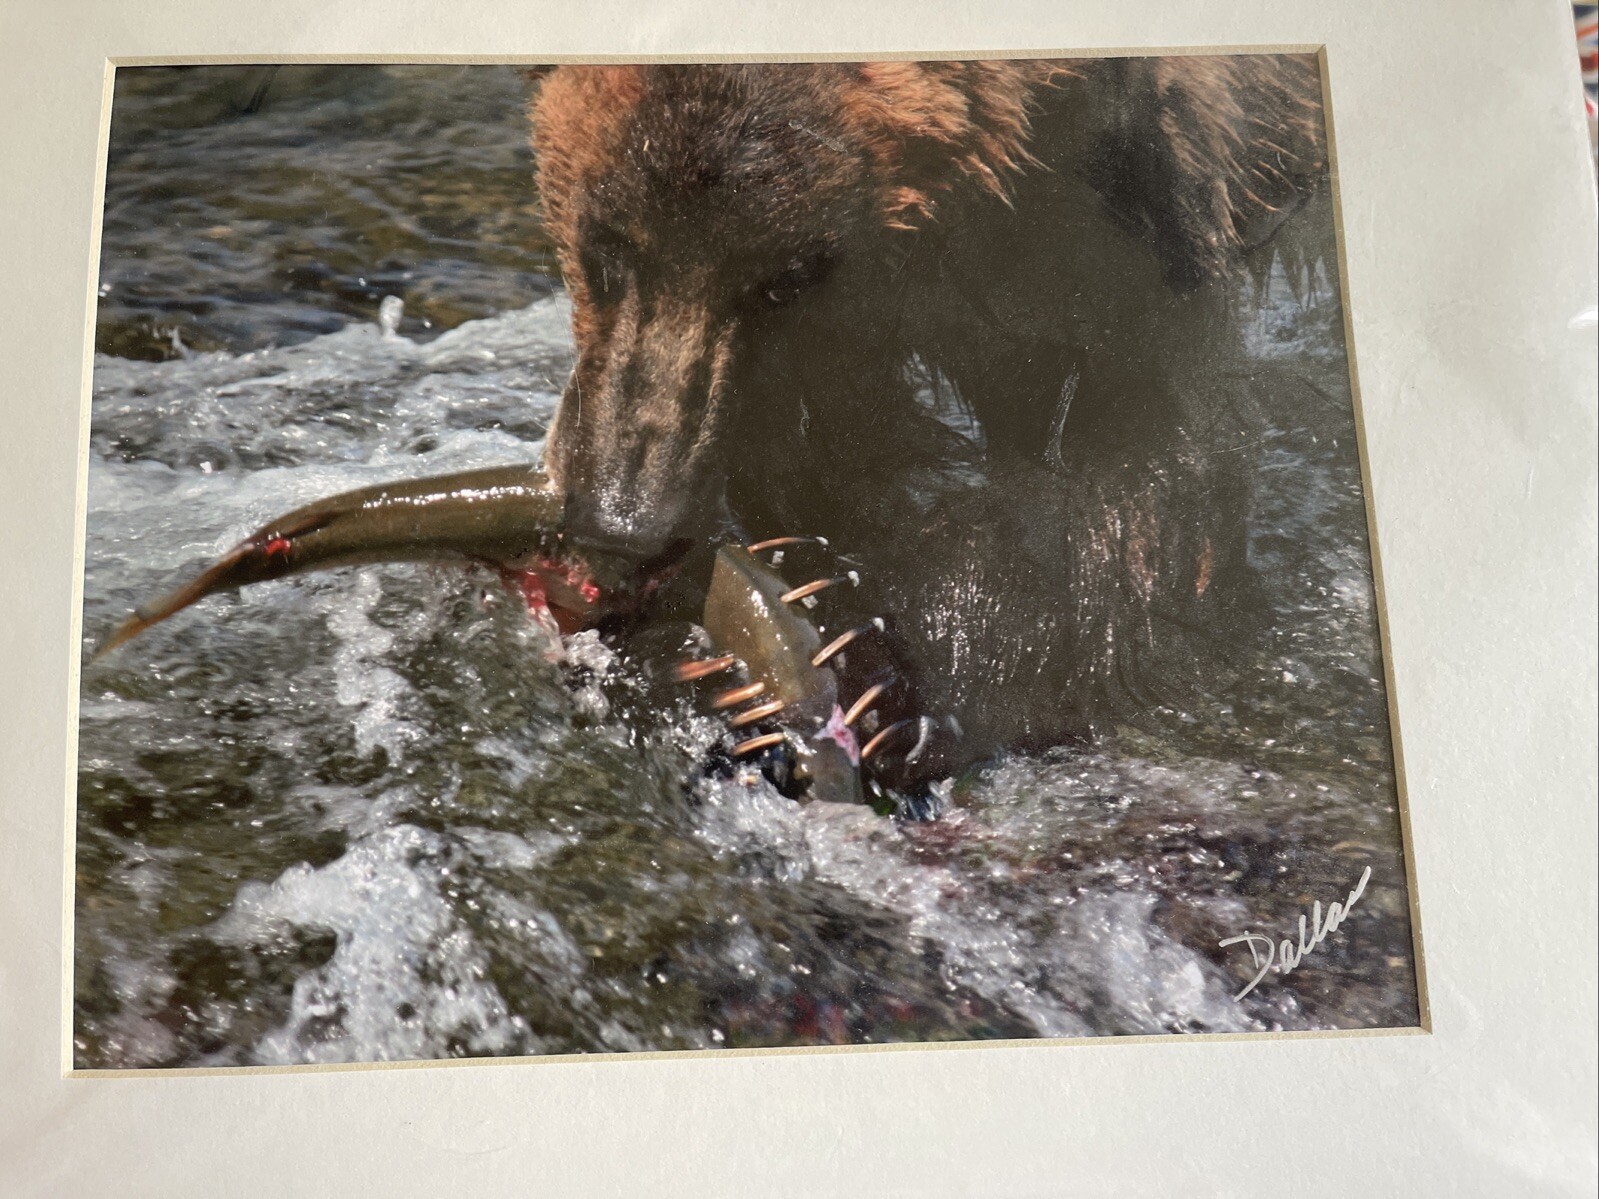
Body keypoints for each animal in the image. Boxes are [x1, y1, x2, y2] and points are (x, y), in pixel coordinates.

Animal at [525, 57, 1333, 780]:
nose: (623, 524)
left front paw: (887, 671)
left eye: (785, 279)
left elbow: (1154, 464)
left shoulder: (1143, 210)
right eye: (605, 247)